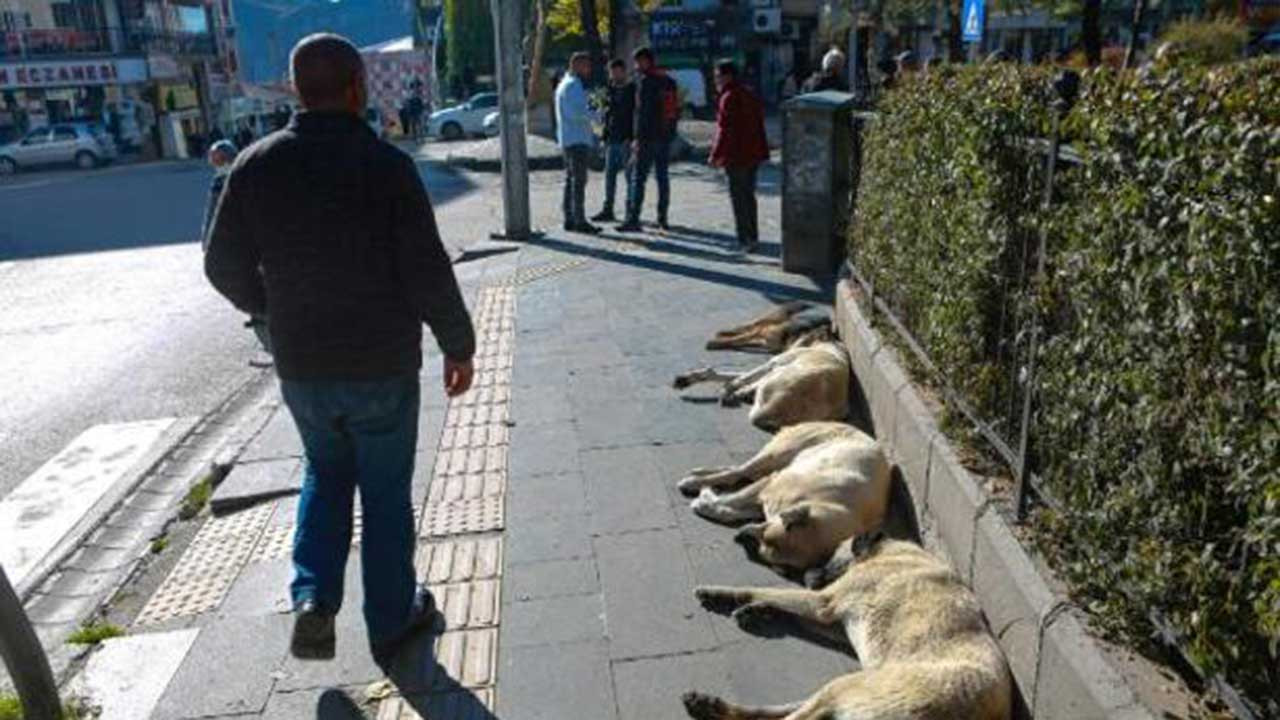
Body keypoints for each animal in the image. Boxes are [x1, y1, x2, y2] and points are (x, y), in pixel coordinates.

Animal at [680, 420, 890, 571]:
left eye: (762, 544)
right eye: (784, 525)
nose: (741, 534)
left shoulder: (765, 501)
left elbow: (728, 510)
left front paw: (708, 501)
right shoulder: (771, 485)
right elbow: (731, 502)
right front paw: (705, 498)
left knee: (738, 472)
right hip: (780, 453)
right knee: (739, 470)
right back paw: (694, 481)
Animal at [686, 532, 1013, 717]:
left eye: (832, 555)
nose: (807, 575)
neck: (894, 551)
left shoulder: (824, 602)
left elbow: (760, 590)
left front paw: (723, 594)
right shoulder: (835, 619)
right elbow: (789, 610)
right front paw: (762, 612)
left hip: (846, 688)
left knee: (794, 717)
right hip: (850, 688)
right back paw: (710, 705)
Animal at [706, 298, 834, 351]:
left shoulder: (765, 341)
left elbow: (742, 340)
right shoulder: (762, 333)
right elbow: (738, 339)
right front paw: (716, 343)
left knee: (752, 328)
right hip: (775, 316)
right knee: (751, 324)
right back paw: (725, 332)